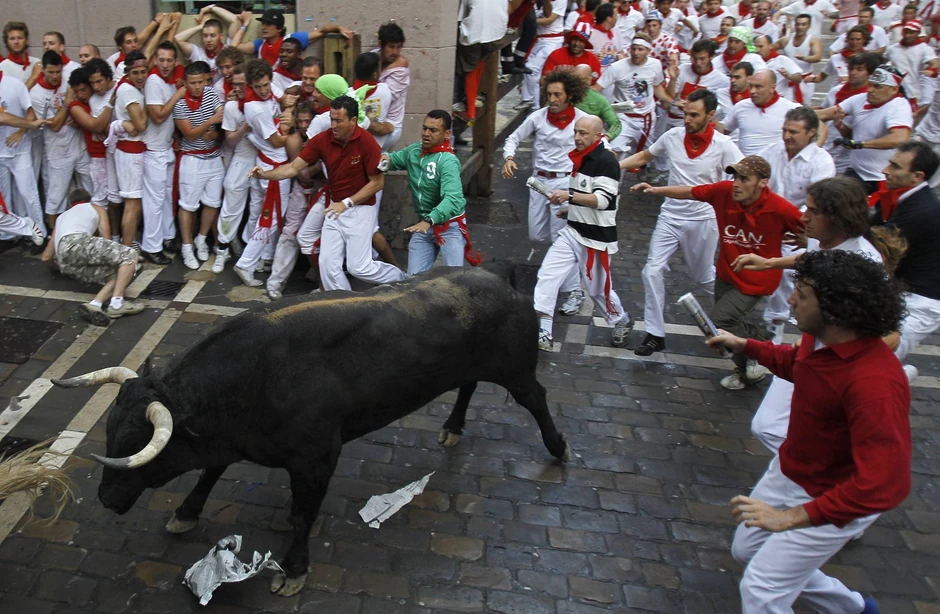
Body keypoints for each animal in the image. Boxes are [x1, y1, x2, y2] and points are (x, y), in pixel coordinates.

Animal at [52, 263, 570, 596]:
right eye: (110, 431)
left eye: (136, 444)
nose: (106, 498)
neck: (256, 375)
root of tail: (502, 283)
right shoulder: (230, 439)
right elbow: (211, 472)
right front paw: (186, 513)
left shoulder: (318, 459)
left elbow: (303, 515)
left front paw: (294, 570)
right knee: (467, 386)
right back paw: (453, 428)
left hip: (517, 371)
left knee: (537, 400)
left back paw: (558, 447)